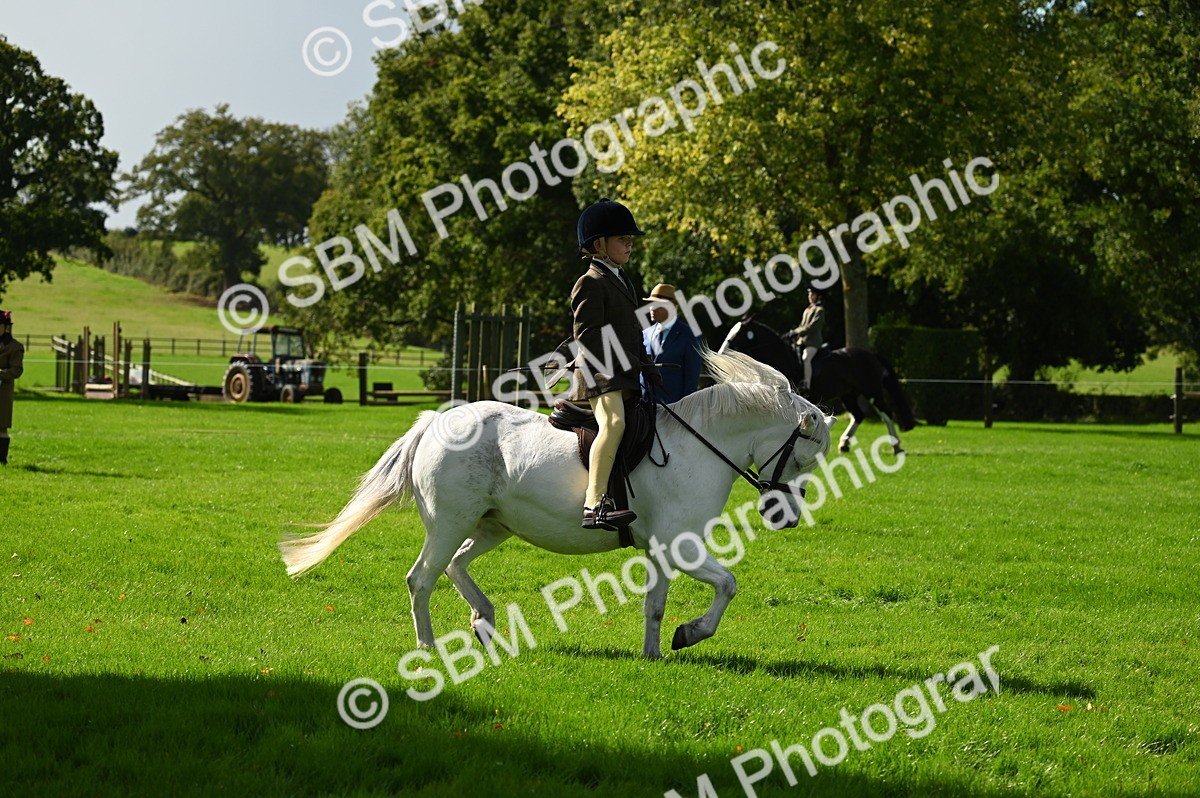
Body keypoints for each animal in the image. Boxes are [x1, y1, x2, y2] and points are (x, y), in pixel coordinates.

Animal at [280, 350, 834, 660]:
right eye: (804, 458)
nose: (786, 517)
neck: (698, 446)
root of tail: (436, 422)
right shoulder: (682, 547)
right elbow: (728, 584)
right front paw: (693, 633)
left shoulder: (660, 551)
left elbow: (655, 607)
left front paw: (656, 652)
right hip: (449, 522)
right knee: (422, 579)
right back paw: (429, 648)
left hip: (491, 525)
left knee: (456, 566)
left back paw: (485, 623)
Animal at [718, 318, 915, 454]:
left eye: (736, 335)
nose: (721, 353)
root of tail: (871, 354)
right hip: (849, 394)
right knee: (858, 415)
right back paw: (844, 444)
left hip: (872, 392)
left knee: (886, 414)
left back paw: (897, 446)